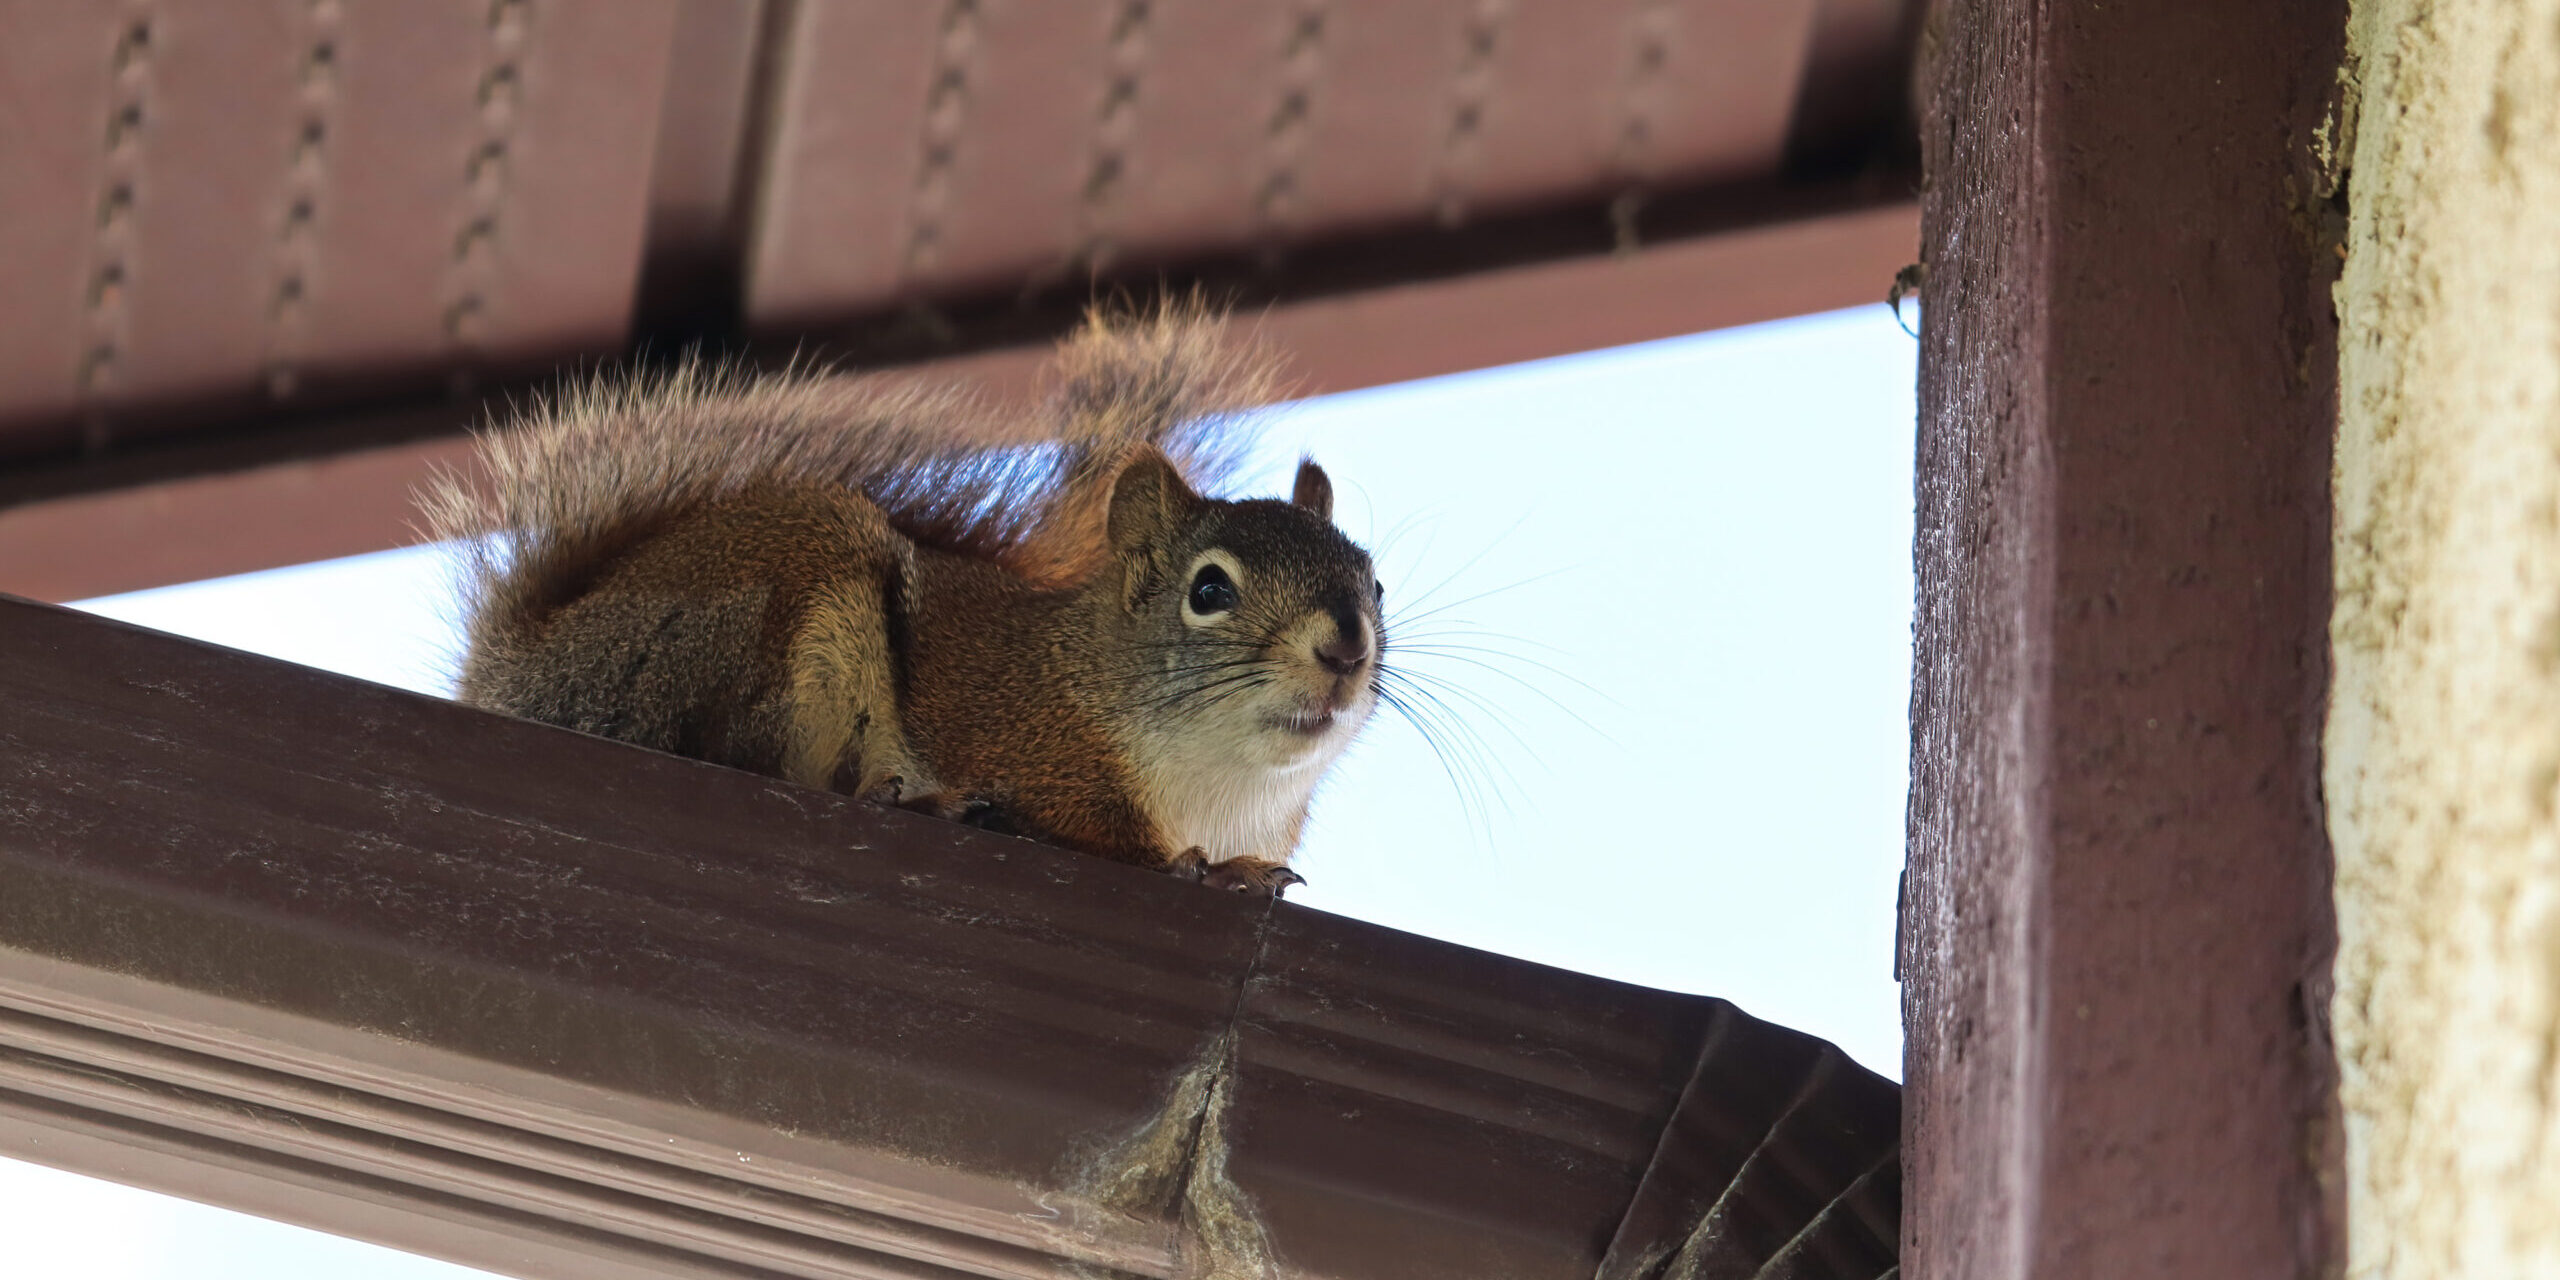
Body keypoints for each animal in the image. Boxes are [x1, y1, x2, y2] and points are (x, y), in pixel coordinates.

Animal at [421, 307, 1384, 893]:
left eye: (1373, 581)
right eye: (1209, 589)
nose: (1345, 646)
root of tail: (528, 670)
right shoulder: (1037, 747)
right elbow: (1100, 833)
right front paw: (1207, 870)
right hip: (758, 621)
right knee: (754, 758)